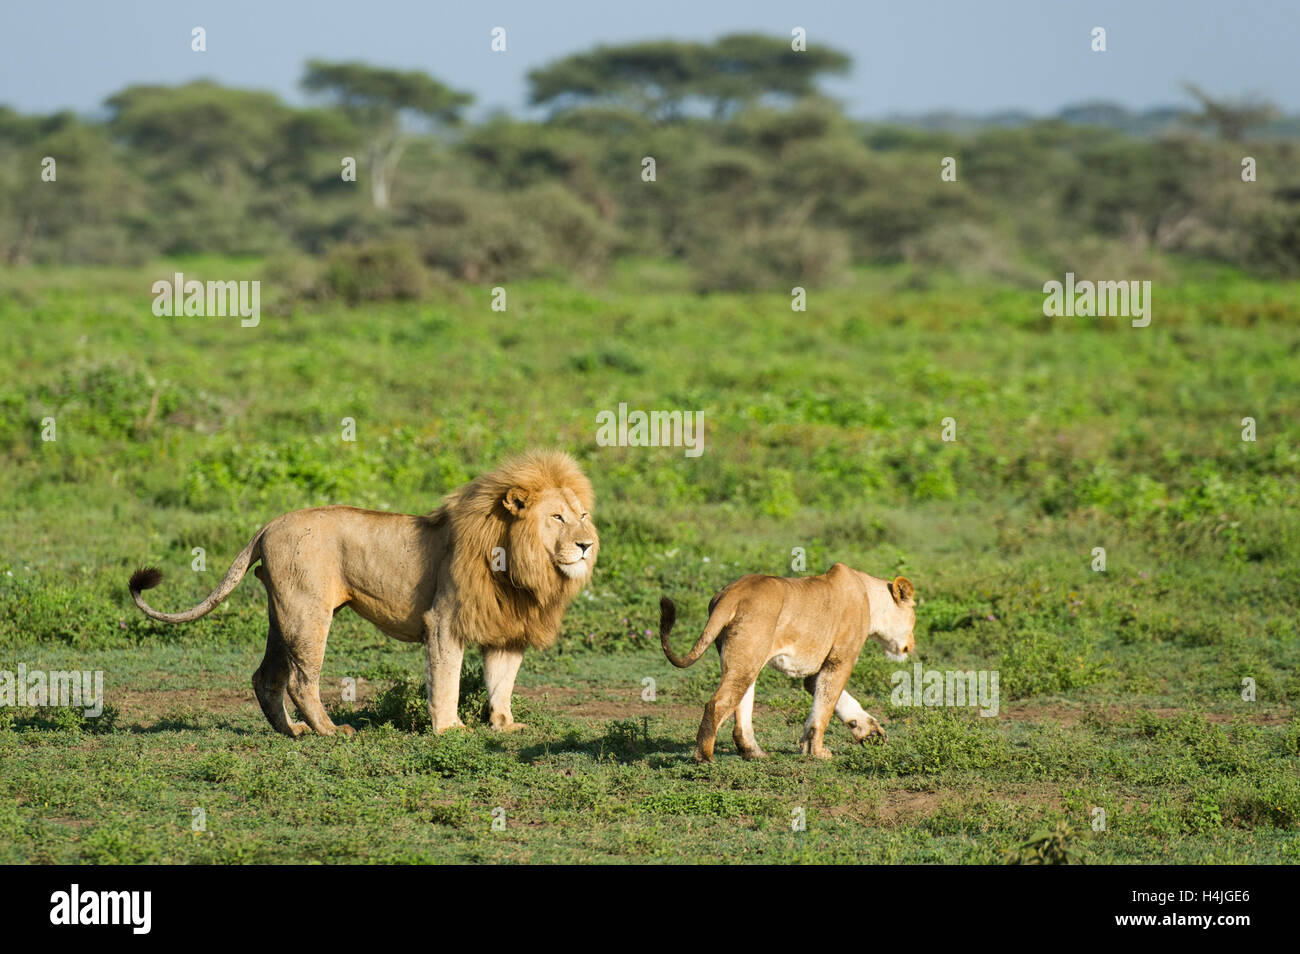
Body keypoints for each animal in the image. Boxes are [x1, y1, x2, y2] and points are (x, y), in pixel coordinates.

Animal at [128, 450, 598, 737]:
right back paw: (331, 732)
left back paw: (292, 733)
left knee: (266, 677)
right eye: (557, 517)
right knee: (300, 680)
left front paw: (504, 726)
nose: (586, 544)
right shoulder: (444, 621)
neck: (521, 563)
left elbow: (502, 682)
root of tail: (269, 524)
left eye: (583, 514)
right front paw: (449, 729)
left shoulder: (506, 627)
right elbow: (446, 681)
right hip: (308, 613)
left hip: (283, 616)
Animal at [659, 563, 915, 762]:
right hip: (747, 658)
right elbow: (826, 706)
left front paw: (871, 733)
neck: (870, 597)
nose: (912, 645)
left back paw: (754, 753)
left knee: (740, 708)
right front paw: (818, 752)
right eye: (914, 618)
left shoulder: (816, 671)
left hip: (747, 661)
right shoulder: (840, 660)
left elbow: (836, 702)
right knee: (717, 703)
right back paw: (704, 757)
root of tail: (733, 592)